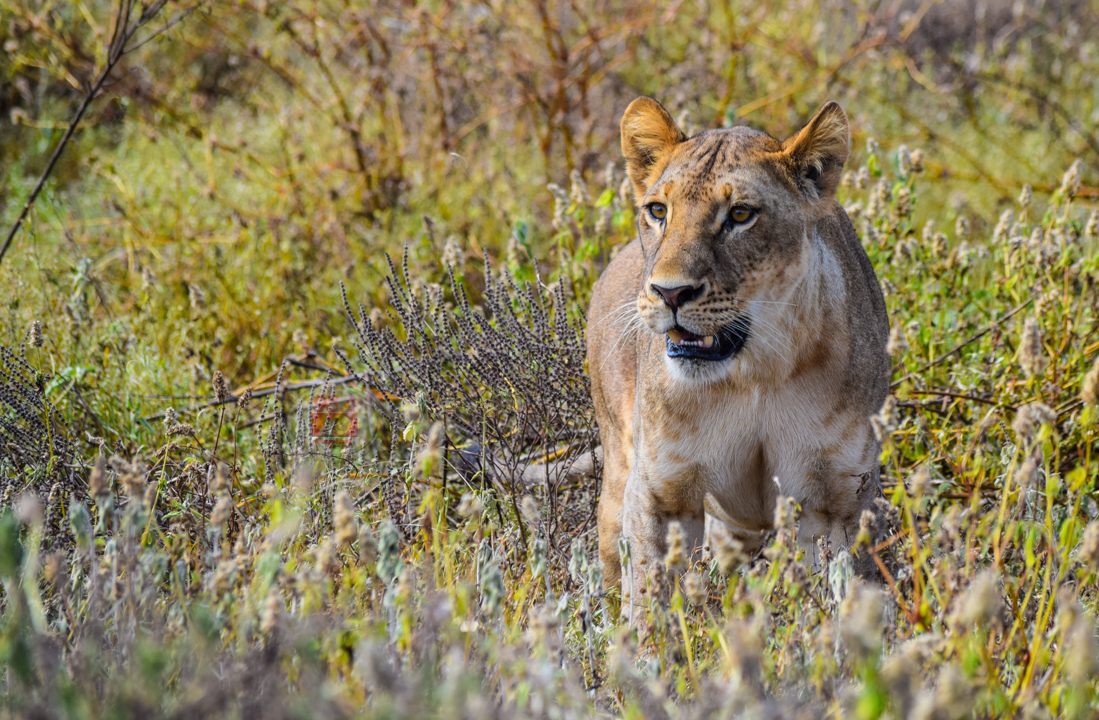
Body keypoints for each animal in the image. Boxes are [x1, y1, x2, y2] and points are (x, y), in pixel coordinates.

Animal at [587, 97, 890, 598]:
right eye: (658, 210)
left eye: (741, 215)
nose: (669, 292)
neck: (756, 372)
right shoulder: (657, 492)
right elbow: (649, 596)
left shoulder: (838, 501)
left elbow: (838, 594)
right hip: (617, 477)